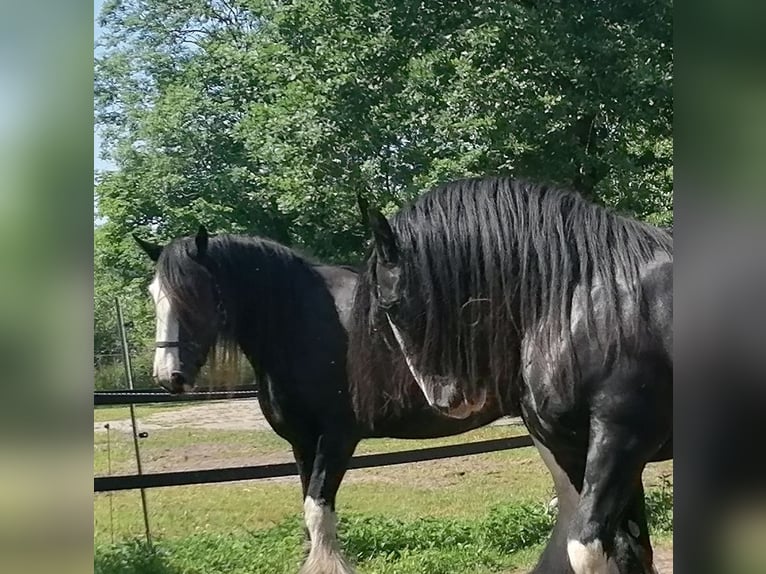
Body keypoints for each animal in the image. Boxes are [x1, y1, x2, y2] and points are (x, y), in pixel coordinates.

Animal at [133, 226, 507, 574]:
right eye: (153, 295)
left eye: (195, 294)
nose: (168, 376)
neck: (305, 325)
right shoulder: (301, 441)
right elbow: (310, 504)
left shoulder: (337, 437)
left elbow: (316, 507)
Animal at [350, 175, 673, 574]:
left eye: (390, 303)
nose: (447, 398)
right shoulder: (575, 449)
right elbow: (631, 550)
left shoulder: (622, 440)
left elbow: (585, 548)